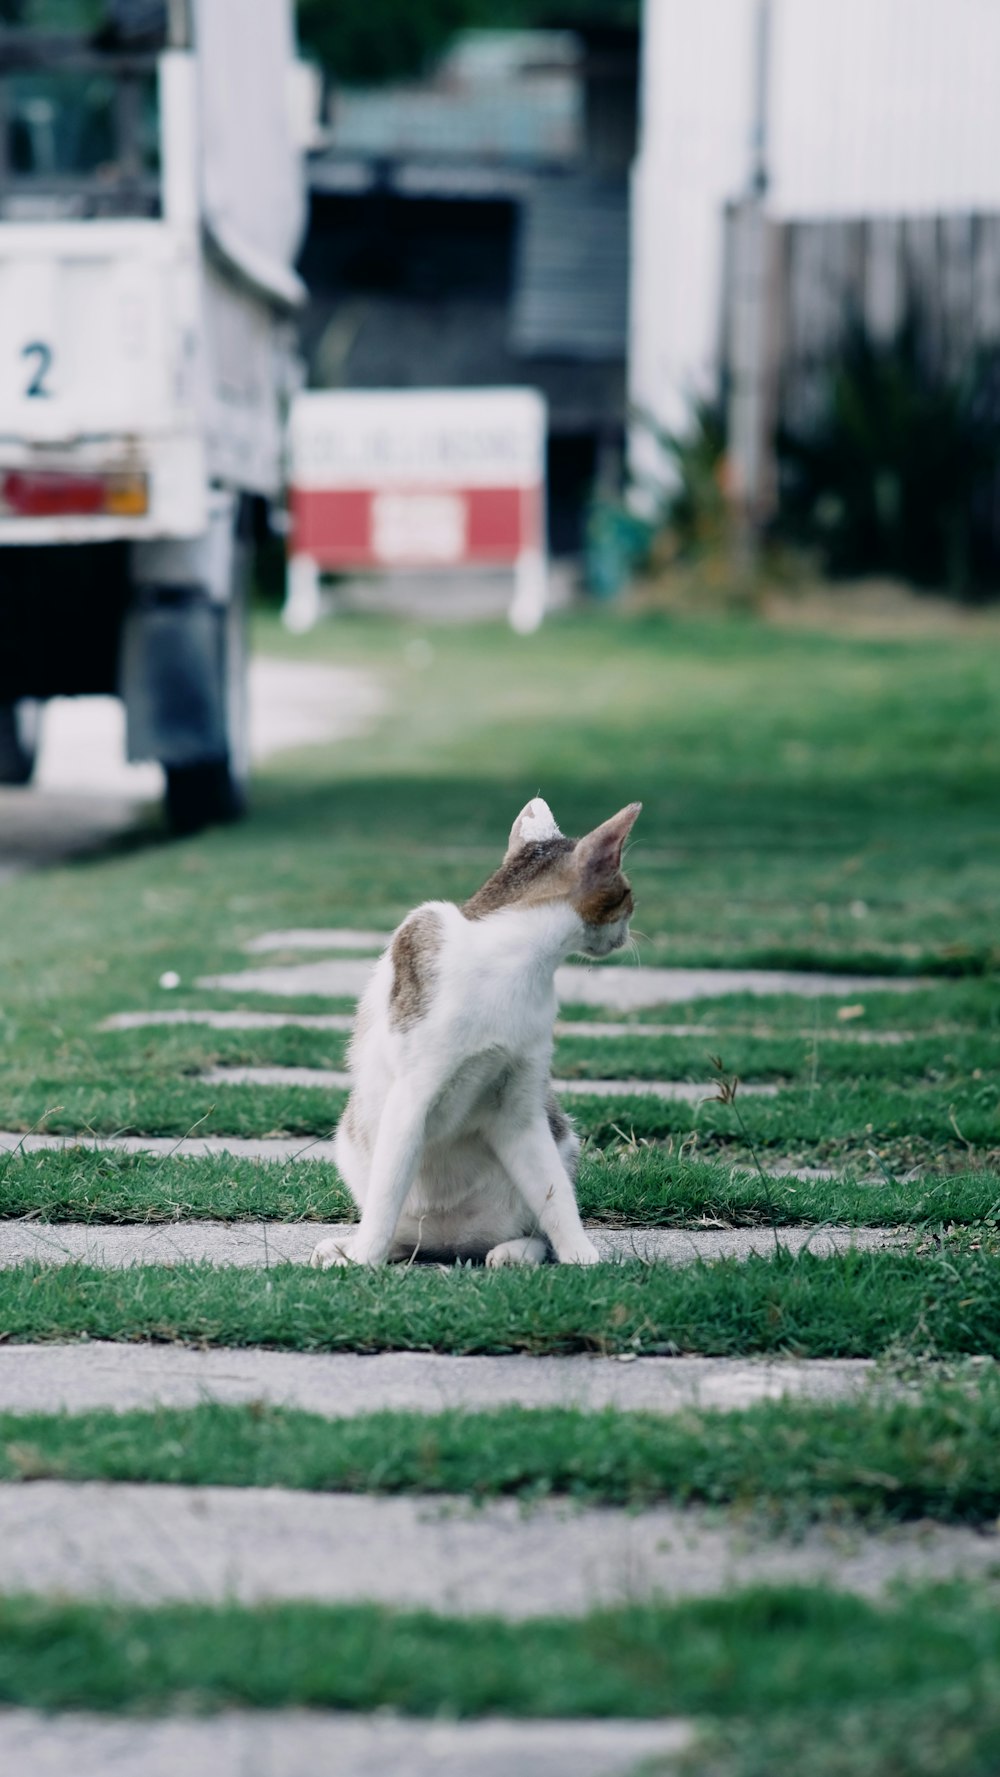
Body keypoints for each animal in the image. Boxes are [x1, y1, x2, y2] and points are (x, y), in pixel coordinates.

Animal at [312, 799, 642, 1272]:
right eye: (629, 896)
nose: (628, 933)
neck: (517, 960)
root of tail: (449, 1243)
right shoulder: (410, 1095)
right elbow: (387, 1189)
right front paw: (363, 1258)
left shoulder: (521, 1105)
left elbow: (555, 1196)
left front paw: (583, 1257)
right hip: (352, 1137)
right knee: (392, 1217)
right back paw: (348, 1247)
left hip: (559, 1132)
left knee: (535, 1223)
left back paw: (514, 1251)